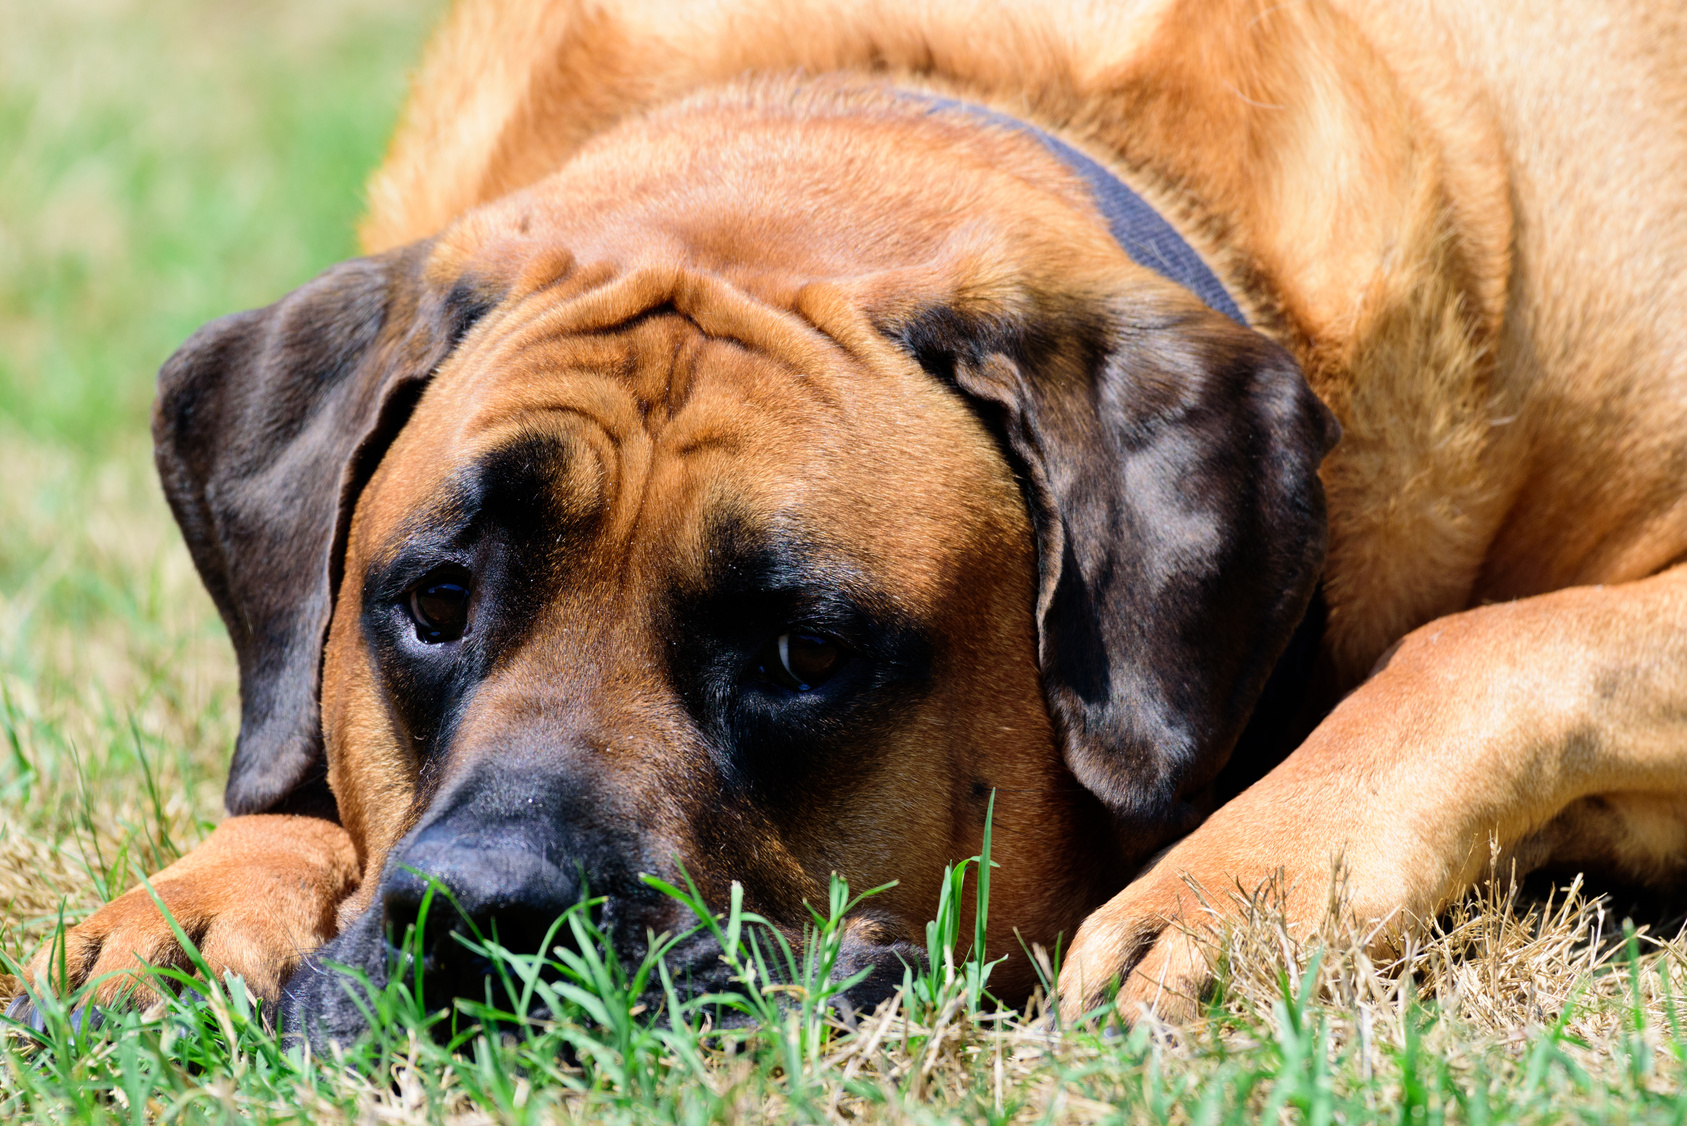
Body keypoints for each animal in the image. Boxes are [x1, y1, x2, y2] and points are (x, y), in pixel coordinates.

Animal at [13, 0, 1687, 1046]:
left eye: (804, 649)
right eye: (431, 601)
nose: (487, 911)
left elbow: (1479, 647)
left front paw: (1240, 885)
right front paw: (204, 892)